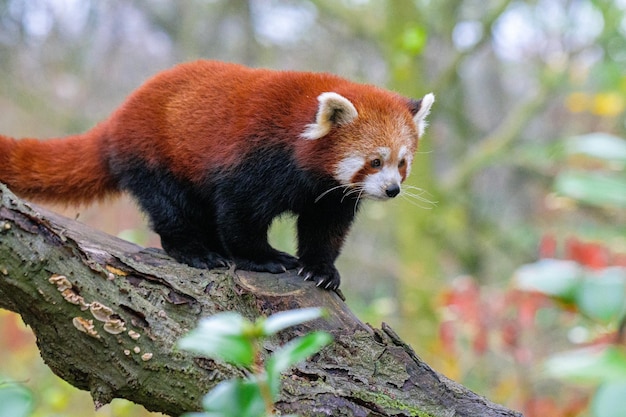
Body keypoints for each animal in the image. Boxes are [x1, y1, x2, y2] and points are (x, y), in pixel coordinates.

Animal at [0, 60, 432, 290]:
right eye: (374, 161)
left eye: (402, 163)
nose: (392, 190)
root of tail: (118, 117)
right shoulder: (254, 161)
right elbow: (240, 215)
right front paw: (262, 258)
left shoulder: (328, 193)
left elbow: (325, 228)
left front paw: (321, 270)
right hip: (156, 156)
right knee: (173, 209)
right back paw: (196, 251)